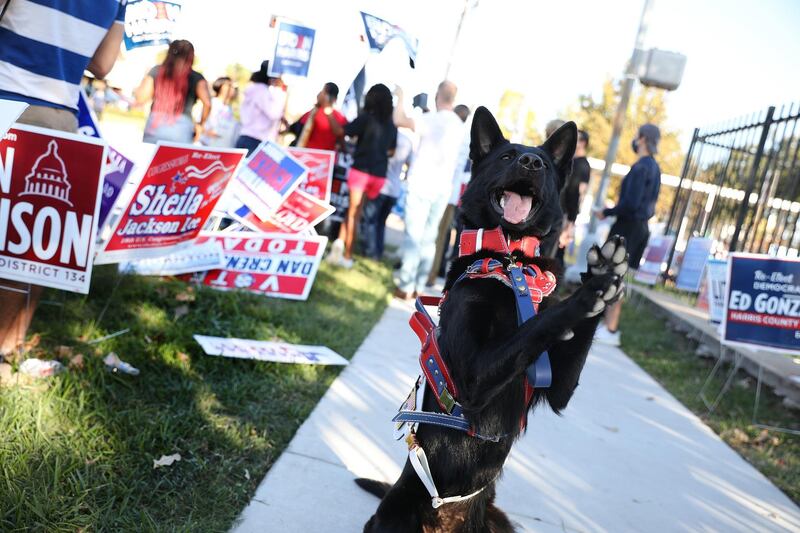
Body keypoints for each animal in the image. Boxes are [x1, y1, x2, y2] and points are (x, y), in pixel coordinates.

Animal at [360, 106, 628, 528]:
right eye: (506, 156)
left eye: (544, 164)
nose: (531, 162)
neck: (510, 259)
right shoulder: (472, 376)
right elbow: (536, 326)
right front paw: (586, 293)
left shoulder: (560, 390)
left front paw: (605, 275)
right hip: (392, 515)